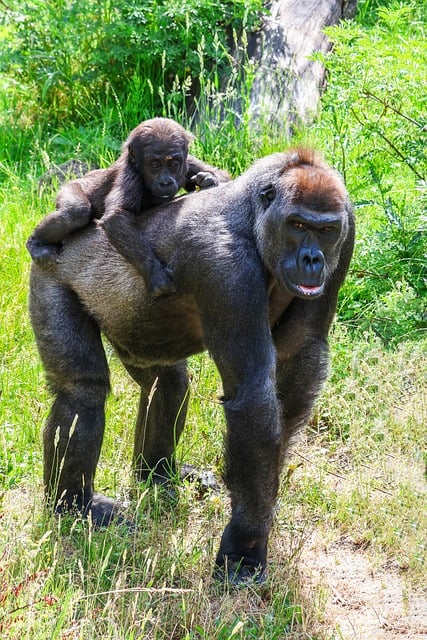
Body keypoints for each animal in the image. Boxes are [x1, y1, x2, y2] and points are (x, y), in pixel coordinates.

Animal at [26, 117, 231, 296]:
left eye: (173, 164)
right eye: (154, 165)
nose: (165, 182)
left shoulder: (188, 161)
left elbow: (222, 175)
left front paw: (208, 179)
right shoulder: (130, 174)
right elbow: (116, 217)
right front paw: (154, 272)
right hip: (72, 186)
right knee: (75, 213)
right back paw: (35, 243)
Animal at [30, 146, 354, 584]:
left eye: (326, 230)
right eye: (298, 224)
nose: (312, 259)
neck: (253, 216)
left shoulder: (346, 230)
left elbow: (299, 357)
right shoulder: (225, 266)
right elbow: (253, 396)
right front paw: (245, 544)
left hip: (134, 338)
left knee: (167, 385)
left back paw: (156, 476)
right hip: (50, 271)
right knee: (81, 393)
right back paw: (73, 506)